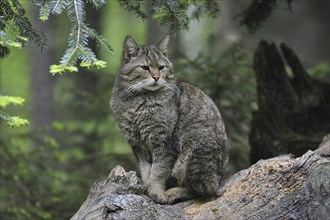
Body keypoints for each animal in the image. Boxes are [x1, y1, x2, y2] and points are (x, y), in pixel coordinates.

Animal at [111, 34, 229, 205]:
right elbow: (146, 170)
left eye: (161, 68)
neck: (139, 100)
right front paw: (146, 187)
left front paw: (156, 192)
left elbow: (158, 171)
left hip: (191, 148)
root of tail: (220, 176)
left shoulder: (163, 142)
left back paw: (171, 193)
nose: (156, 77)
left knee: (203, 189)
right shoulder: (137, 144)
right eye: (145, 68)